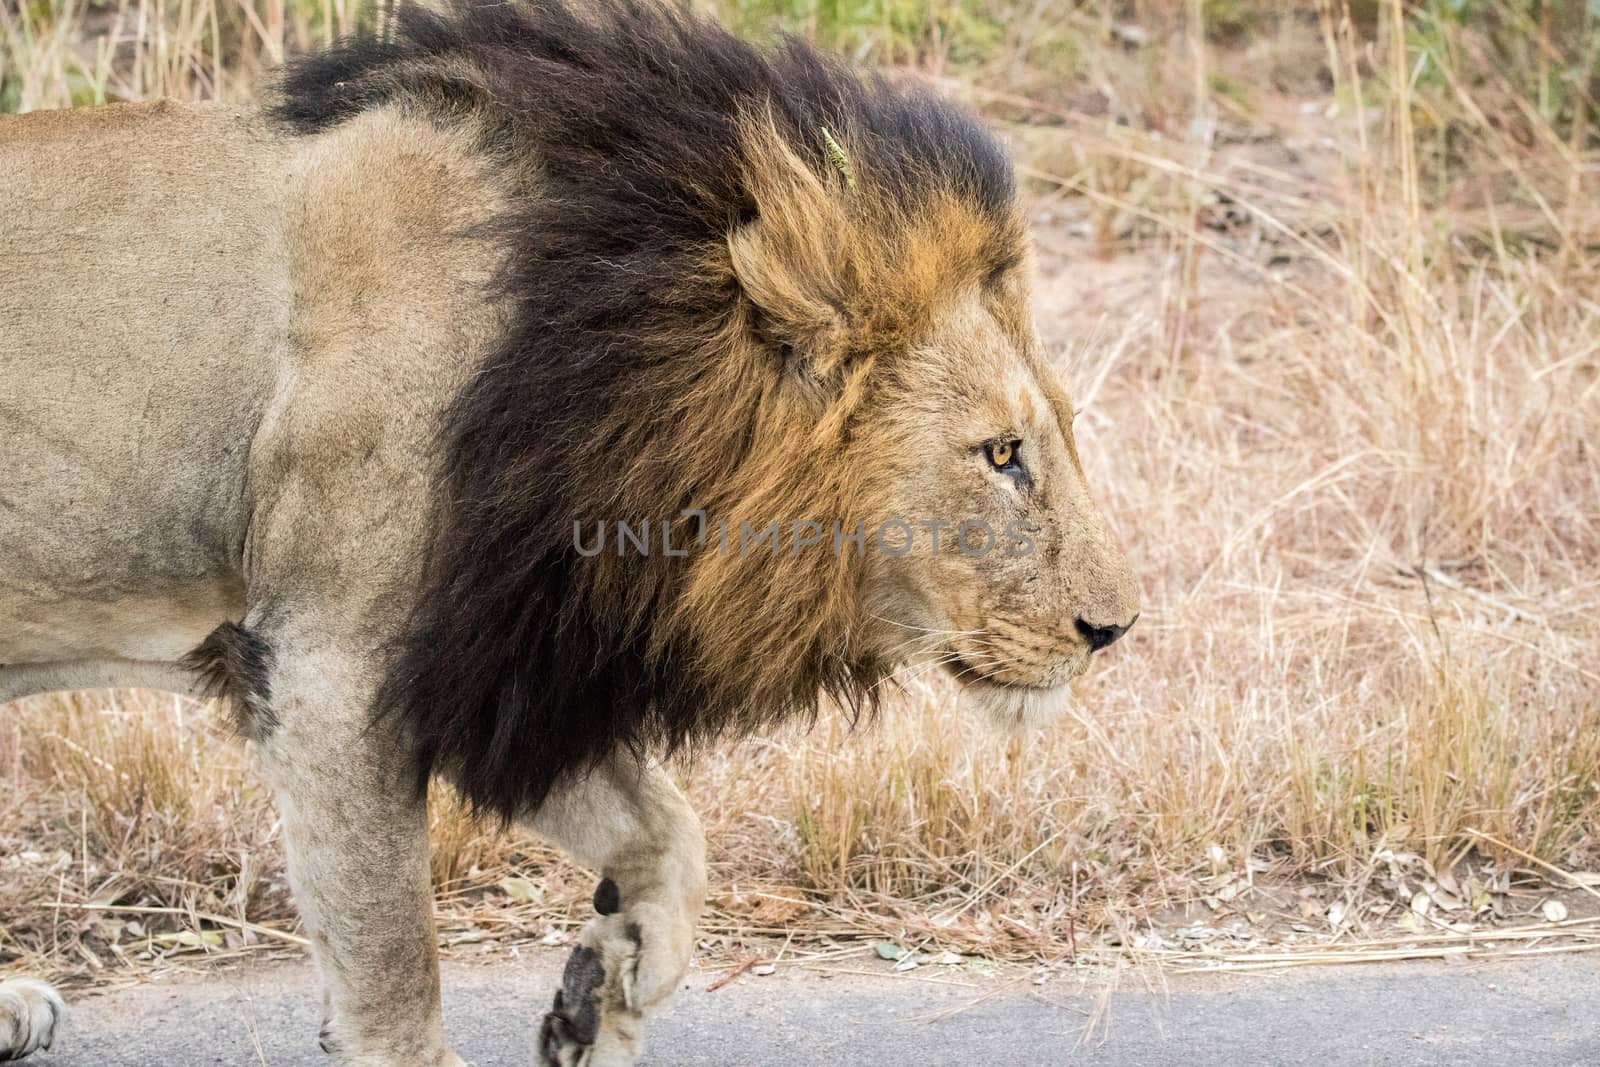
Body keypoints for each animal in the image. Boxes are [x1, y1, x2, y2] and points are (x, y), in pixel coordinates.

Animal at [0, 4, 1139, 1062]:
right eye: (1001, 453)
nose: (1116, 628)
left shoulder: (504, 664)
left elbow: (671, 834)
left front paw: (603, 987)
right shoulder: (331, 667)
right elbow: (393, 958)